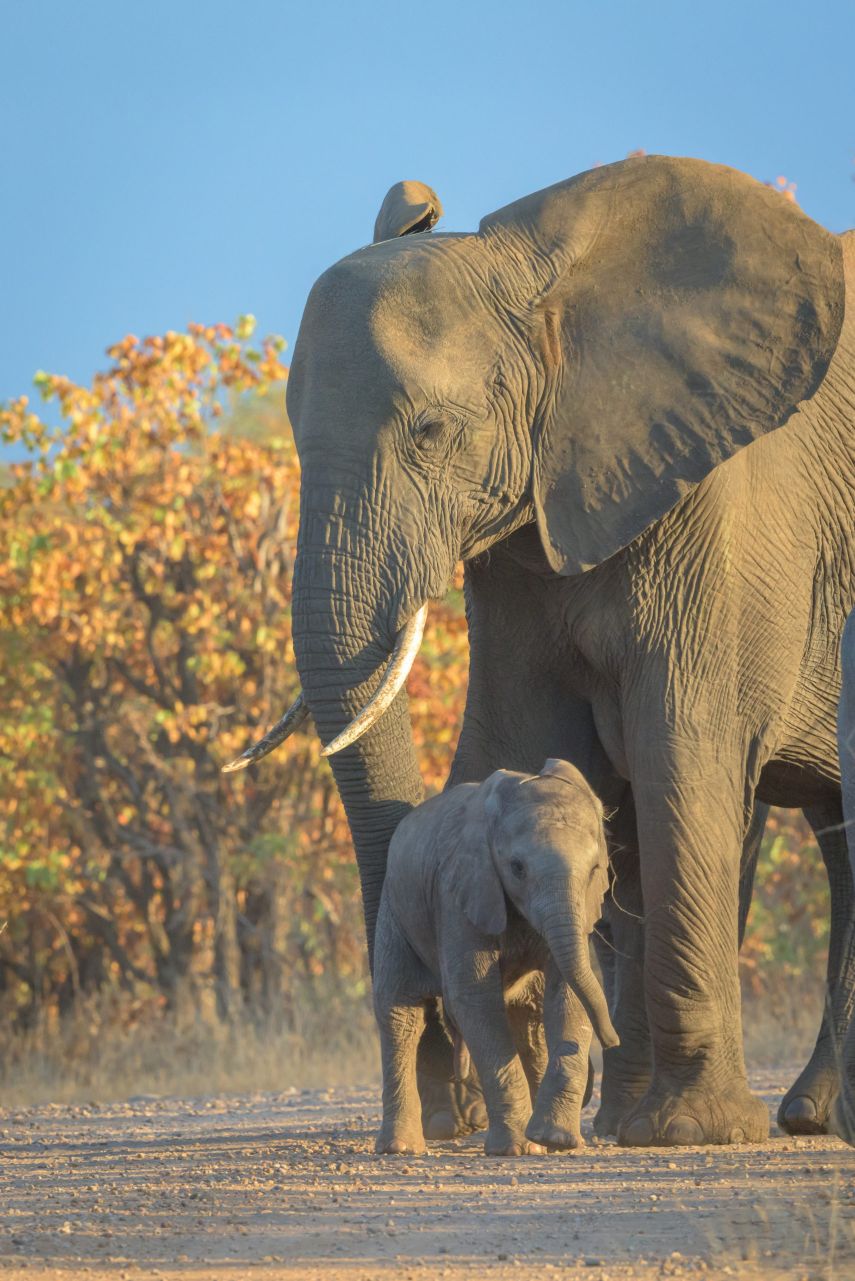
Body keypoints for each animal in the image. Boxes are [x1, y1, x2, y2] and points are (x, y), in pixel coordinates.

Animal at [373, 757, 615, 1156]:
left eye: (595, 870)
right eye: (517, 868)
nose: (612, 1040)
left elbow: (567, 992)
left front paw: (555, 1140)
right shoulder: (459, 892)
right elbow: (473, 997)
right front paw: (515, 1148)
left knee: (528, 1019)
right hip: (394, 911)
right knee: (400, 1015)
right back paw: (401, 1148)